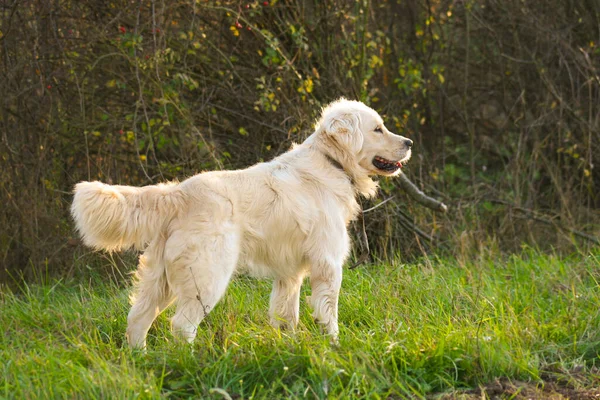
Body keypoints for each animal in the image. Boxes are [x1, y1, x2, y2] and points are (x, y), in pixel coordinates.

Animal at [70, 98, 410, 348]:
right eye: (378, 129)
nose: (409, 142)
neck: (332, 163)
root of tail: (178, 193)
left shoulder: (289, 275)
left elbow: (286, 317)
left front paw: (290, 348)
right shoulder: (327, 265)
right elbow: (329, 314)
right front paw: (335, 347)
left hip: (160, 279)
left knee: (138, 319)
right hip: (207, 277)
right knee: (181, 326)